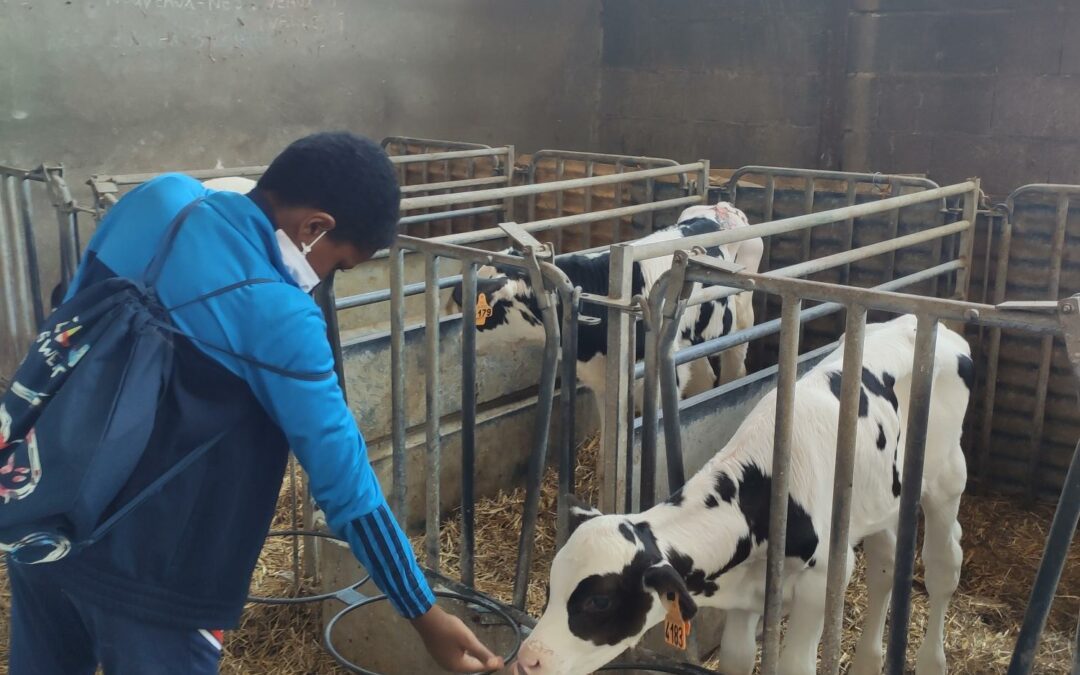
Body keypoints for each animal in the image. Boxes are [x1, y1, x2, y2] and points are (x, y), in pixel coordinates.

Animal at [442, 200, 764, 436]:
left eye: (481, 308)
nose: (457, 342)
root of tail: (720, 207)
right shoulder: (602, 383)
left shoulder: (661, 381)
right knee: (705, 375)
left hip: (743, 315)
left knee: (735, 365)